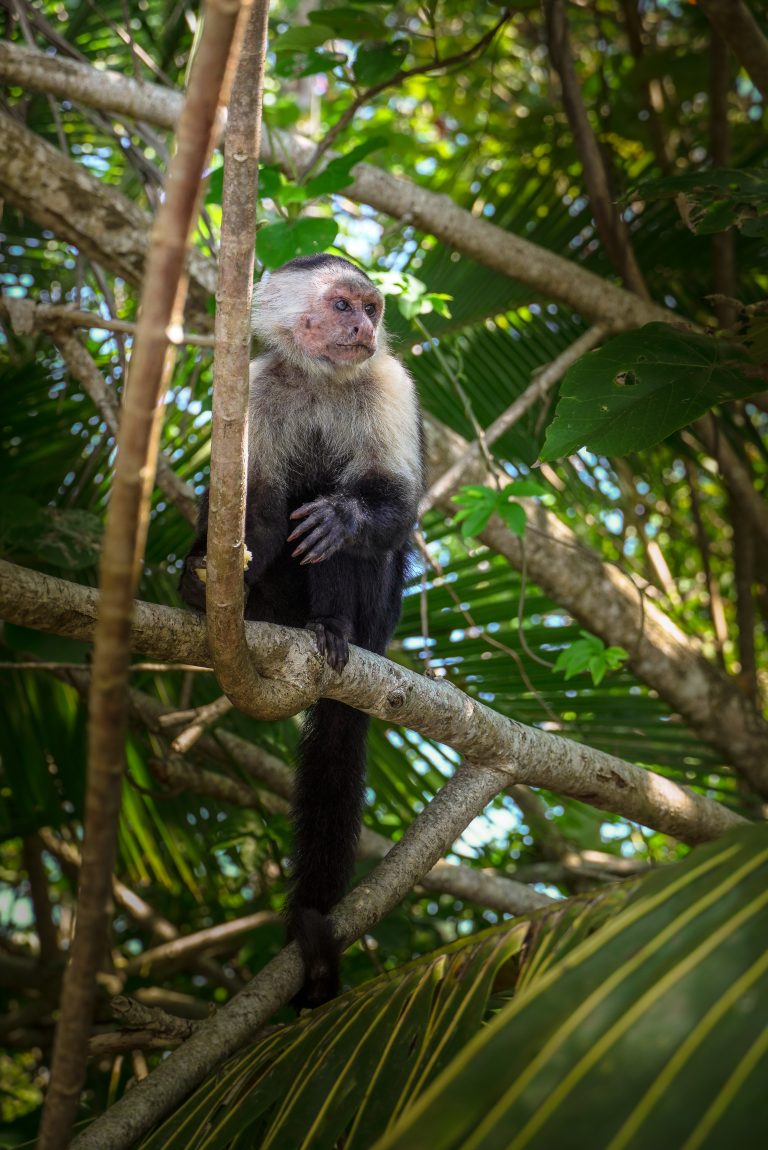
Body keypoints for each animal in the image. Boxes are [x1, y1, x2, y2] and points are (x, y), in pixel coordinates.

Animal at [181, 256, 425, 1012]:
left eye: (372, 310)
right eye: (342, 304)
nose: (363, 328)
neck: (321, 377)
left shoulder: (388, 381)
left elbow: (394, 504)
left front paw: (344, 518)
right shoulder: (258, 390)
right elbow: (255, 512)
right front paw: (201, 572)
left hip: (380, 617)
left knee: (340, 526)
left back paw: (333, 625)